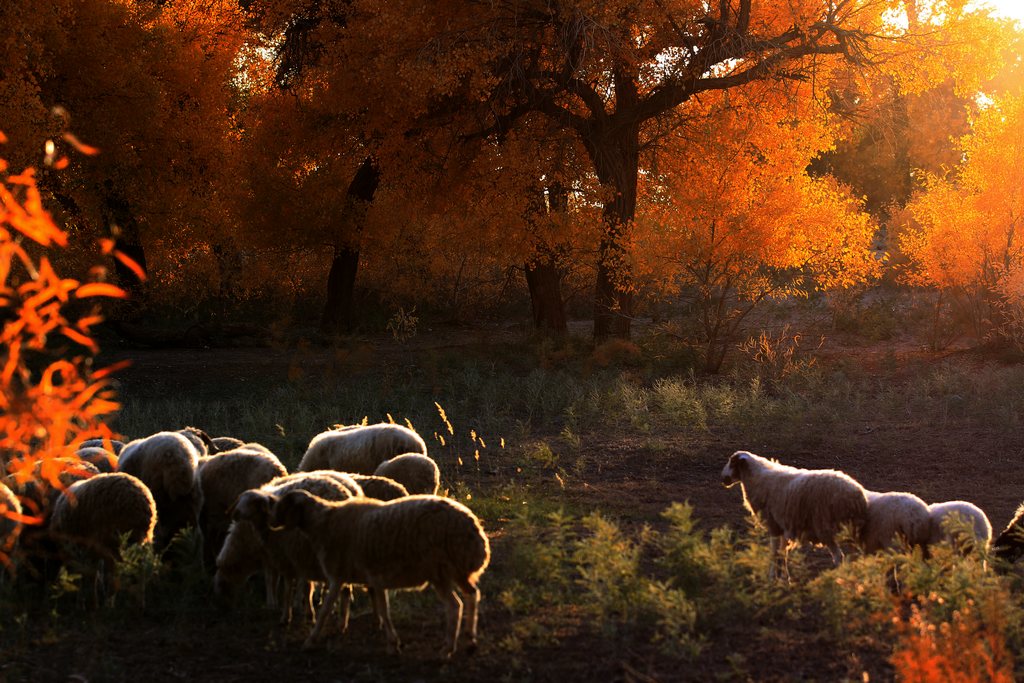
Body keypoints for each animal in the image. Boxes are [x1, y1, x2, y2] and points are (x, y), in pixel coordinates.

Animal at [211, 471, 364, 626]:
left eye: (223, 586)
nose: (225, 608)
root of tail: (347, 491)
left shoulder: (279, 553)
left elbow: (275, 580)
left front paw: (275, 605)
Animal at [268, 489, 491, 655]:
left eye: (285, 505)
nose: (271, 523)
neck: (323, 524)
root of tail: (476, 534)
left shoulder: (338, 576)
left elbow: (324, 611)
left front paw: (310, 640)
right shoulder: (374, 579)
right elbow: (383, 610)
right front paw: (392, 642)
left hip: (441, 571)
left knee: (454, 605)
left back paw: (448, 647)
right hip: (457, 571)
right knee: (472, 595)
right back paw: (470, 639)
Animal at [720, 450, 864, 581]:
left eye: (733, 463)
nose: (723, 479)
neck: (758, 479)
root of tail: (857, 494)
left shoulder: (774, 525)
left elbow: (774, 553)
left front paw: (772, 578)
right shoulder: (784, 526)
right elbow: (783, 553)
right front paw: (784, 578)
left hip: (826, 527)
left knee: (839, 556)